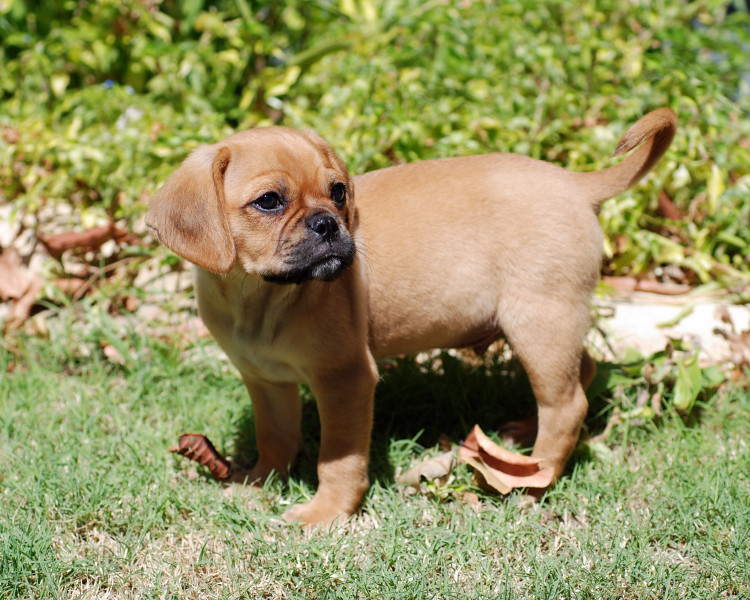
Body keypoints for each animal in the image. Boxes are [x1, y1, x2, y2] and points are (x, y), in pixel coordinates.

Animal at [147, 109, 680, 524]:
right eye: (269, 201)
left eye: (338, 192)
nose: (329, 224)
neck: (262, 298)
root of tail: (574, 183)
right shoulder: (265, 380)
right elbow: (275, 436)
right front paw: (257, 483)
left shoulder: (346, 379)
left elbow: (338, 459)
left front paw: (326, 512)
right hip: (552, 327)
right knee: (578, 375)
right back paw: (520, 438)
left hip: (540, 322)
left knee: (566, 404)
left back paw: (533, 479)